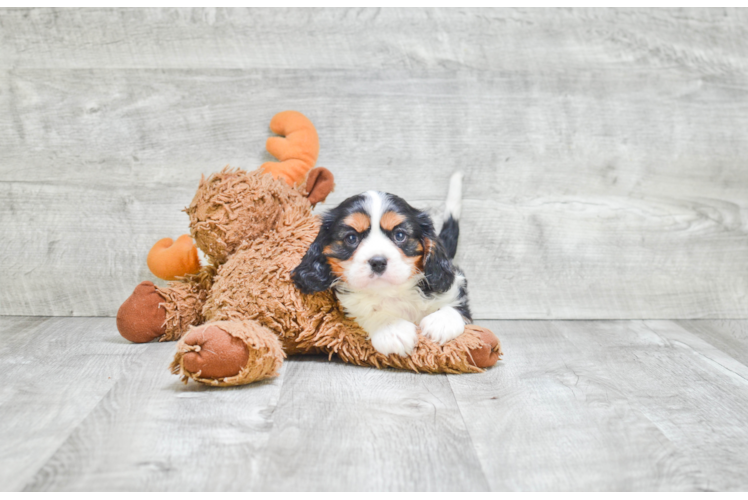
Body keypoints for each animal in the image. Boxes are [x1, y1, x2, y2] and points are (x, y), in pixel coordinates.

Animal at [290, 174, 470, 358]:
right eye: (351, 238)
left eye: (400, 235)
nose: (377, 262)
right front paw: (391, 329)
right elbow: (367, 312)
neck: (391, 292)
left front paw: (442, 321)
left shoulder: (455, 285)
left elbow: (455, 304)